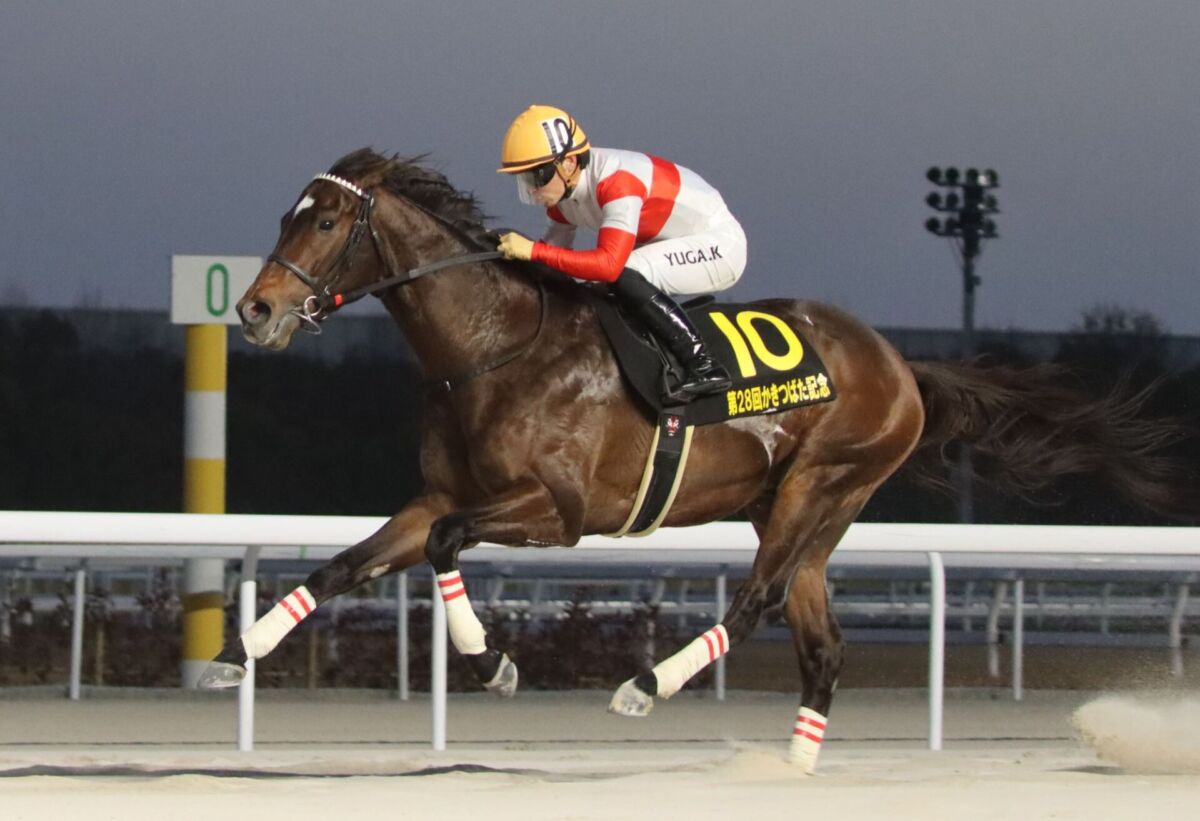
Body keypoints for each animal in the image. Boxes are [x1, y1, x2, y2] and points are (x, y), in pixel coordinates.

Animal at [200, 147, 1195, 773]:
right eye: (289, 214)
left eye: (326, 220)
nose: (254, 309)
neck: (496, 346)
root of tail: (899, 363)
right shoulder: (439, 493)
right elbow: (341, 566)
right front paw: (233, 654)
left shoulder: (558, 513)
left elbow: (447, 544)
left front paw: (493, 663)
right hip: (801, 509)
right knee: (822, 644)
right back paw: (791, 770)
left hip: (825, 482)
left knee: (756, 600)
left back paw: (648, 685)